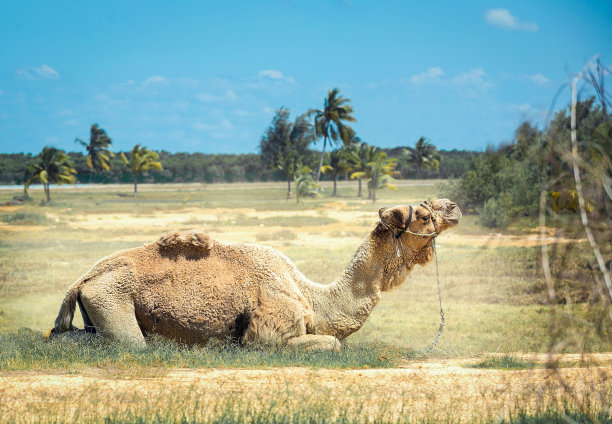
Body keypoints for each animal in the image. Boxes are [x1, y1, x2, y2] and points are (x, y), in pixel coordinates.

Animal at [46, 199, 460, 352]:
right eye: (424, 215)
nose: (454, 207)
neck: (311, 296)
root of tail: (81, 280)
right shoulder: (270, 331)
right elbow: (331, 344)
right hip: (111, 300)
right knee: (129, 343)